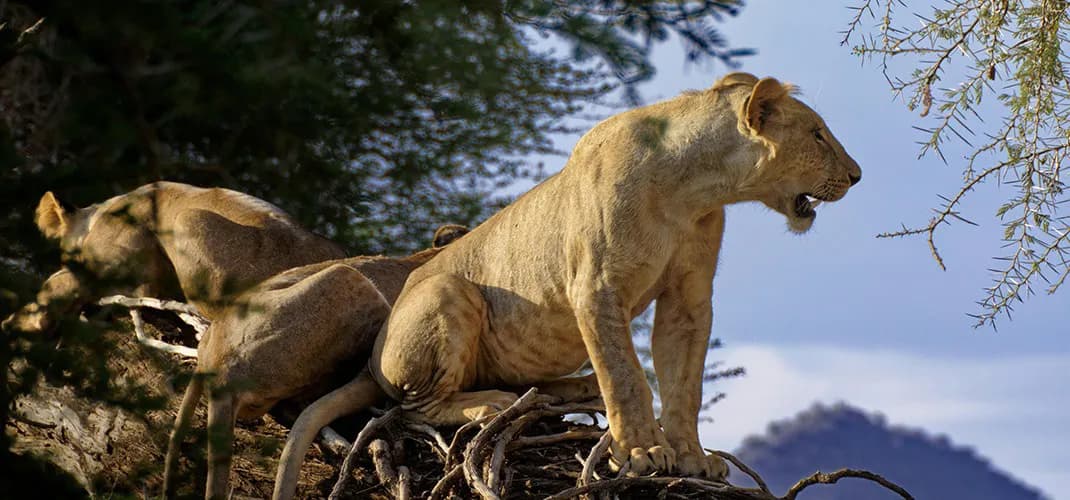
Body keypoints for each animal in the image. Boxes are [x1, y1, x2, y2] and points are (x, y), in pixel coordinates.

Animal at [272, 72, 862, 498]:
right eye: (817, 134)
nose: (857, 176)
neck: (695, 188)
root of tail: (370, 359)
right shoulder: (596, 289)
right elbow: (627, 376)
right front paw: (643, 455)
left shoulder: (688, 300)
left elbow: (683, 384)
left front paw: (692, 459)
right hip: (449, 294)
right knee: (412, 408)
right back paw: (490, 404)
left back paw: (567, 392)